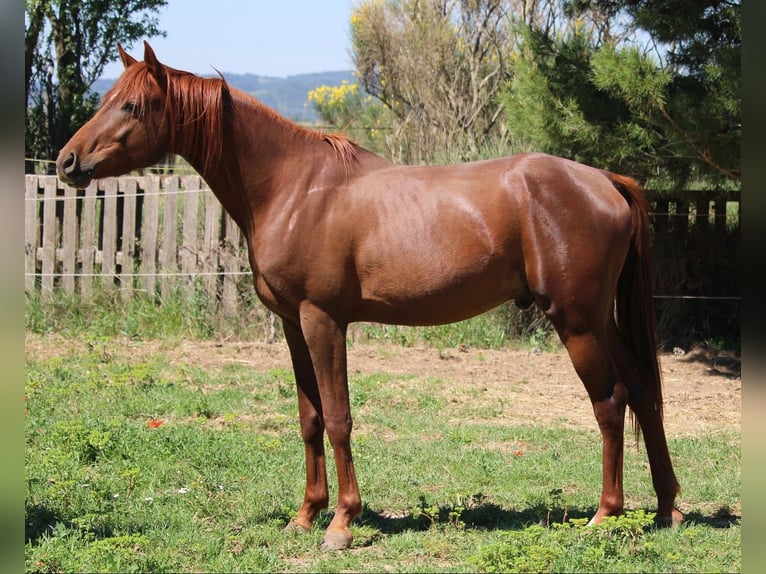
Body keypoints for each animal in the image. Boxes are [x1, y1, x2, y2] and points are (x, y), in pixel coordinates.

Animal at [60, 42, 684, 552]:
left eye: (132, 107)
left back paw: (606, 515)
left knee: (611, 402)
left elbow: (338, 417)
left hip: (576, 322)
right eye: (109, 98)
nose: (68, 162)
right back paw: (667, 508)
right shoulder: (294, 326)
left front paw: (341, 522)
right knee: (643, 394)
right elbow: (309, 417)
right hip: (601, 322)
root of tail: (605, 181)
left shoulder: (323, 321)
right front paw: (305, 515)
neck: (295, 188)